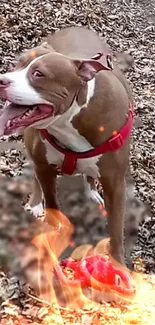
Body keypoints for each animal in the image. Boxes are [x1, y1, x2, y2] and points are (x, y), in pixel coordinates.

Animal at [0, 26, 134, 264]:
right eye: (18, 64)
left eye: (38, 74)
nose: (1, 80)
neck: (69, 119)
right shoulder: (44, 168)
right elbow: (51, 202)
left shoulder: (115, 184)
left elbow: (117, 230)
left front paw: (118, 264)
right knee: (35, 175)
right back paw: (36, 202)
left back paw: (91, 191)